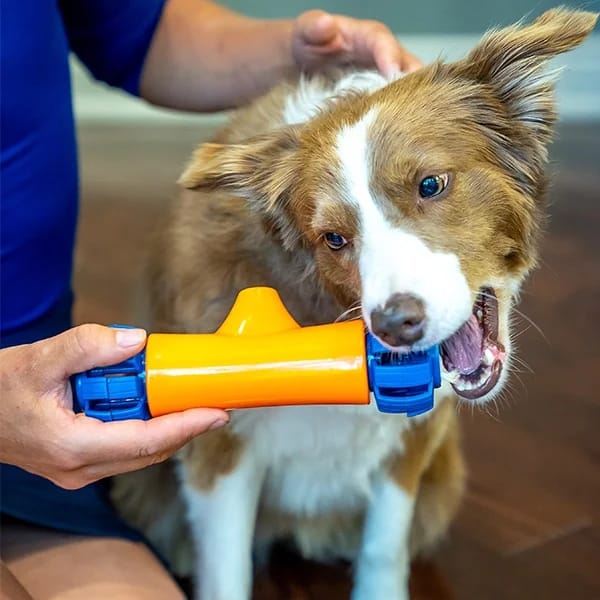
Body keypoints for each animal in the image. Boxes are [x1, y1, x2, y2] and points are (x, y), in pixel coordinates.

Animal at [111, 10, 596, 600]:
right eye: (334, 239)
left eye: (431, 184)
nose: (395, 325)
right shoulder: (219, 454)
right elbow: (227, 571)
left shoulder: (414, 438)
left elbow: (384, 547)